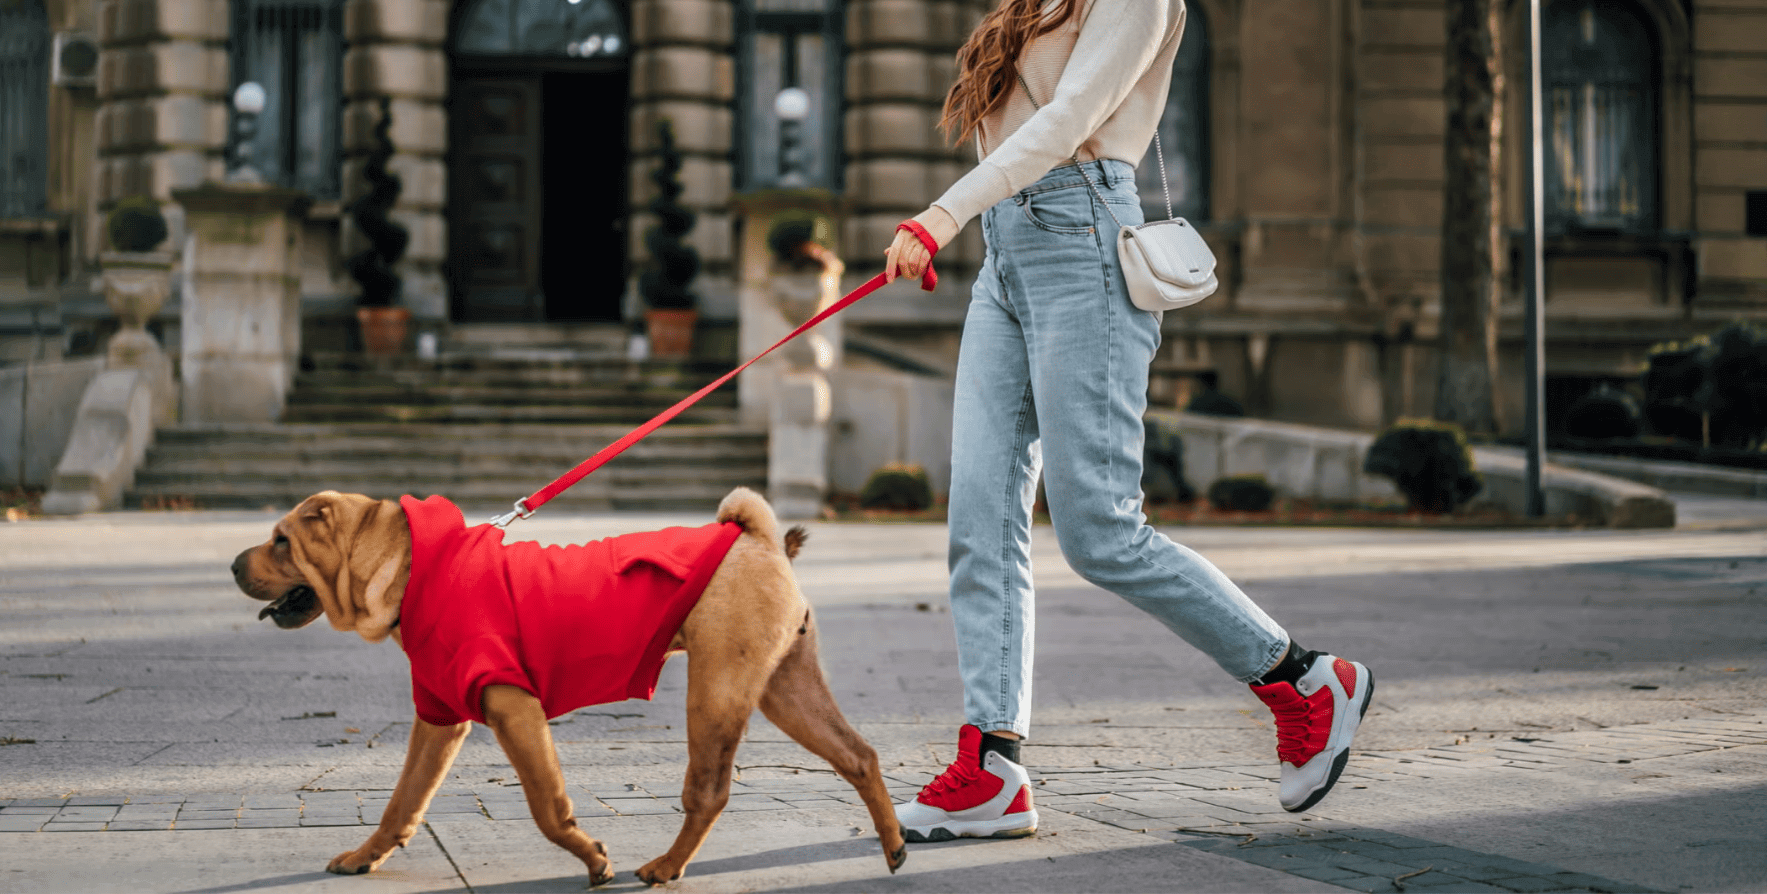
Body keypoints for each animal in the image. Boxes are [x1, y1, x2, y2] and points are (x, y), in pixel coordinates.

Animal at [227, 487, 904, 886]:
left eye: (281, 541)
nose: (233, 564)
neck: (416, 567)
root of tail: (758, 539)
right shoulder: (440, 717)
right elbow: (402, 802)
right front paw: (366, 855)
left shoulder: (513, 709)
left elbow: (547, 808)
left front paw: (593, 858)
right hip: (785, 691)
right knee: (860, 757)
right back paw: (894, 843)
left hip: (716, 694)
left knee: (709, 793)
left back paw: (666, 866)